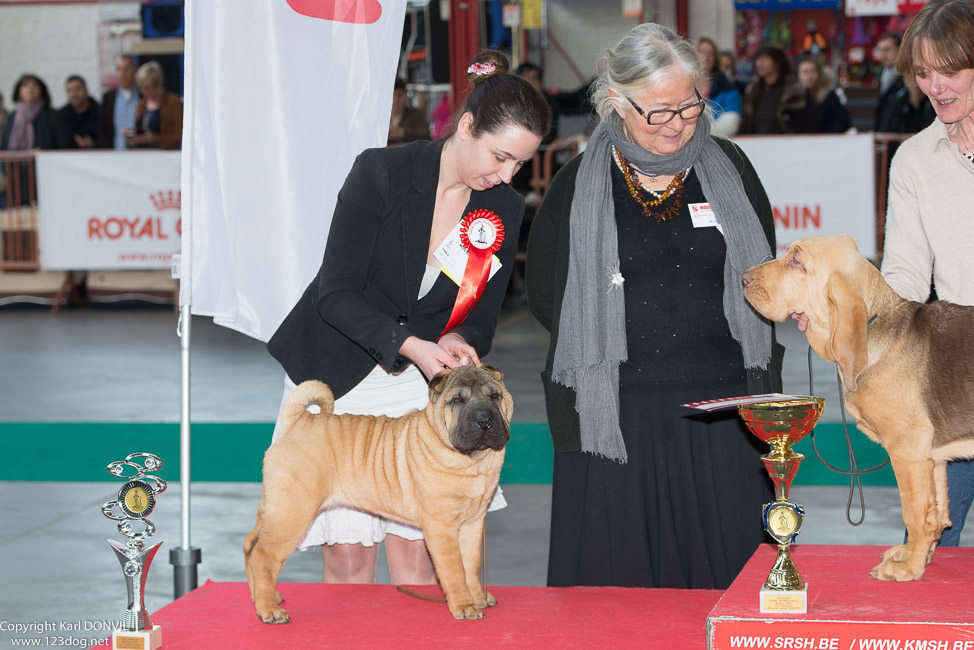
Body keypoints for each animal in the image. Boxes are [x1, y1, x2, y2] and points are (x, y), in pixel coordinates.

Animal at [744, 235, 972, 580]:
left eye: (797, 261)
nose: (743, 278)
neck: (875, 325)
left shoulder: (909, 450)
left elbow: (914, 513)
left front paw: (908, 568)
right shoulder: (933, 459)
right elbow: (936, 513)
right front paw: (917, 556)